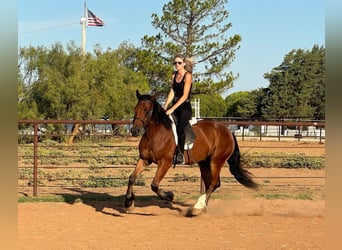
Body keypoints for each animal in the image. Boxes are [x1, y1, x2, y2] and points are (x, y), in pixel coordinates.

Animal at [124, 90, 258, 217]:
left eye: (147, 110)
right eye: (135, 109)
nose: (135, 131)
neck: (155, 133)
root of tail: (228, 131)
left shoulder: (165, 163)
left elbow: (154, 185)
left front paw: (169, 196)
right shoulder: (145, 159)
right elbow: (132, 178)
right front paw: (128, 203)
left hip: (216, 161)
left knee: (214, 183)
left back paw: (196, 208)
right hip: (204, 163)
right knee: (210, 184)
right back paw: (201, 209)